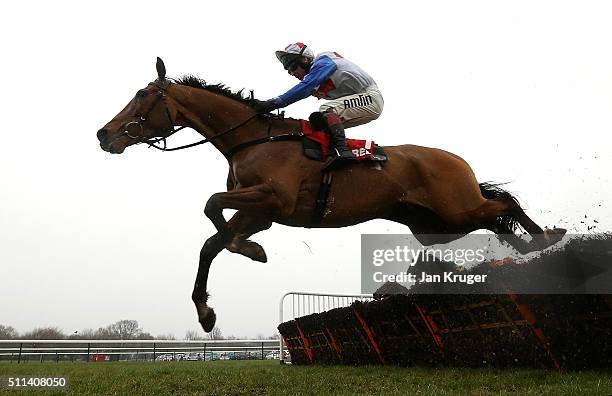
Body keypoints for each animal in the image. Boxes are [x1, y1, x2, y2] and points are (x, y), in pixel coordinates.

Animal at [98, 58, 568, 332]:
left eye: (142, 94)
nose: (103, 134)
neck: (254, 139)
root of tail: (456, 160)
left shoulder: (273, 199)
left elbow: (213, 209)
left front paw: (248, 250)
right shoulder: (259, 211)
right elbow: (212, 243)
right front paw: (208, 309)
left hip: (456, 208)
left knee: (503, 205)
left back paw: (545, 237)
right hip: (431, 225)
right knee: (494, 216)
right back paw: (529, 244)